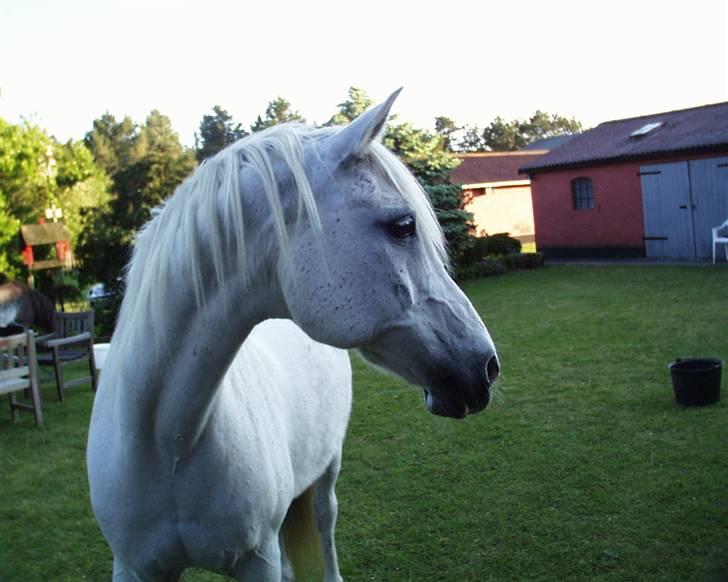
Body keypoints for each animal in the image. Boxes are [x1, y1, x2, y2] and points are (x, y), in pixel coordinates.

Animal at [84, 91, 494, 582]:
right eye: (402, 225)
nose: (486, 365)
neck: (170, 445)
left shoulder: (255, 561)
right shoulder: (133, 566)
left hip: (325, 472)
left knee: (324, 522)